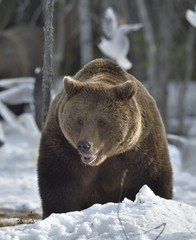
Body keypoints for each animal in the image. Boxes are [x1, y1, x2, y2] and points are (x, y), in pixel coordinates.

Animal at [37, 58, 172, 219]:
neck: (105, 159)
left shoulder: (142, 152)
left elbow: (155, 181)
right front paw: (61, 212)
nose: (84, 145)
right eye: (80, 120)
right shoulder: (62, 146)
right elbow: (58, 184)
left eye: (102, 122)